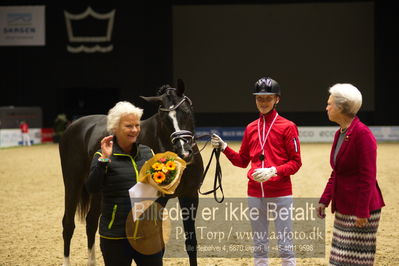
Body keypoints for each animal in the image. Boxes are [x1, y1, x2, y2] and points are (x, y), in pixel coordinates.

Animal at [61, 81, 205, 266]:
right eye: (164, 118)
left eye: (186, 111)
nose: (184, 152)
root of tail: (73, 126)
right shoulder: (157, 200)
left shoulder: (190, 195)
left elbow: (191, 242)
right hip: (73, 183)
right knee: (68, 225)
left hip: (99, 192)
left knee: (91, 222)